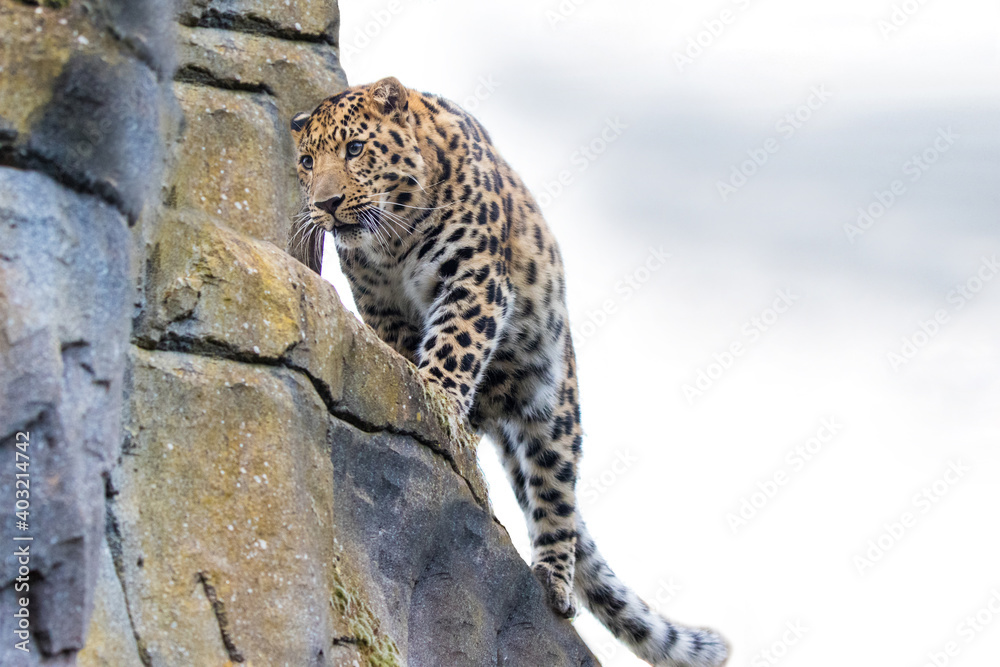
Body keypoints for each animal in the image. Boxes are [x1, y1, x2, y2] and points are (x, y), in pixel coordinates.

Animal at [289, 77, 728, 667]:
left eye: (355, 149)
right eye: (308, 162)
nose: (326, 204)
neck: (393, 241)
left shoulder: (474, 279)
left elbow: (455, 343)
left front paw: (435, 397)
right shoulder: (379, 304)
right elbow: (403, 345)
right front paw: (414, 388)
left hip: (552, 400)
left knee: (555, 492)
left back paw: (554, 581)